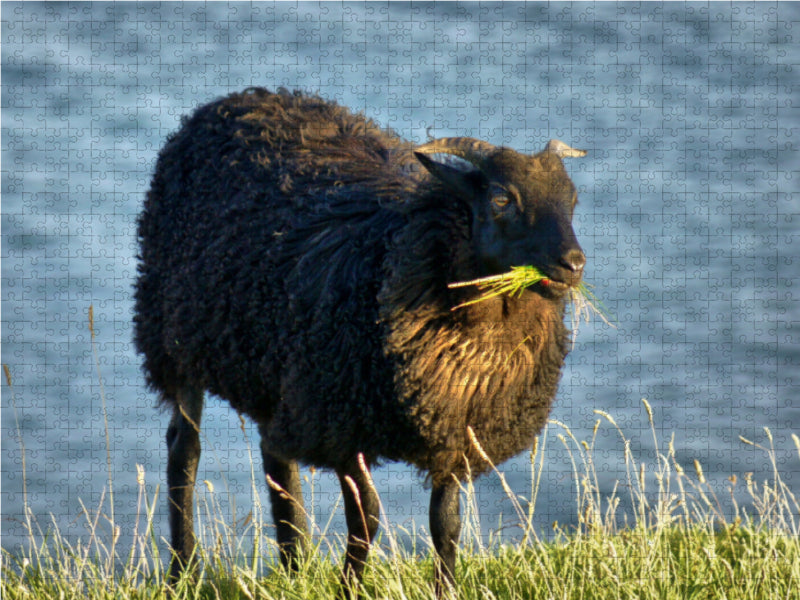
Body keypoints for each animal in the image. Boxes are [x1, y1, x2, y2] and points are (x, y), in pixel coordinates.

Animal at [134, 86, 588, 596]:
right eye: (501, 198)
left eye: (571, 199)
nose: (573, 264)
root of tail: (237, 99)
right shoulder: (344, 422)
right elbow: (366, 517)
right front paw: (350, 586)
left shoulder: (453, 430)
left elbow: (446, 523)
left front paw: (444, 589)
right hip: (176, 340)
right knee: (184, 452)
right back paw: (183, 571)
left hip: (282, 376)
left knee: (276, 456)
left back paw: (294, 565)